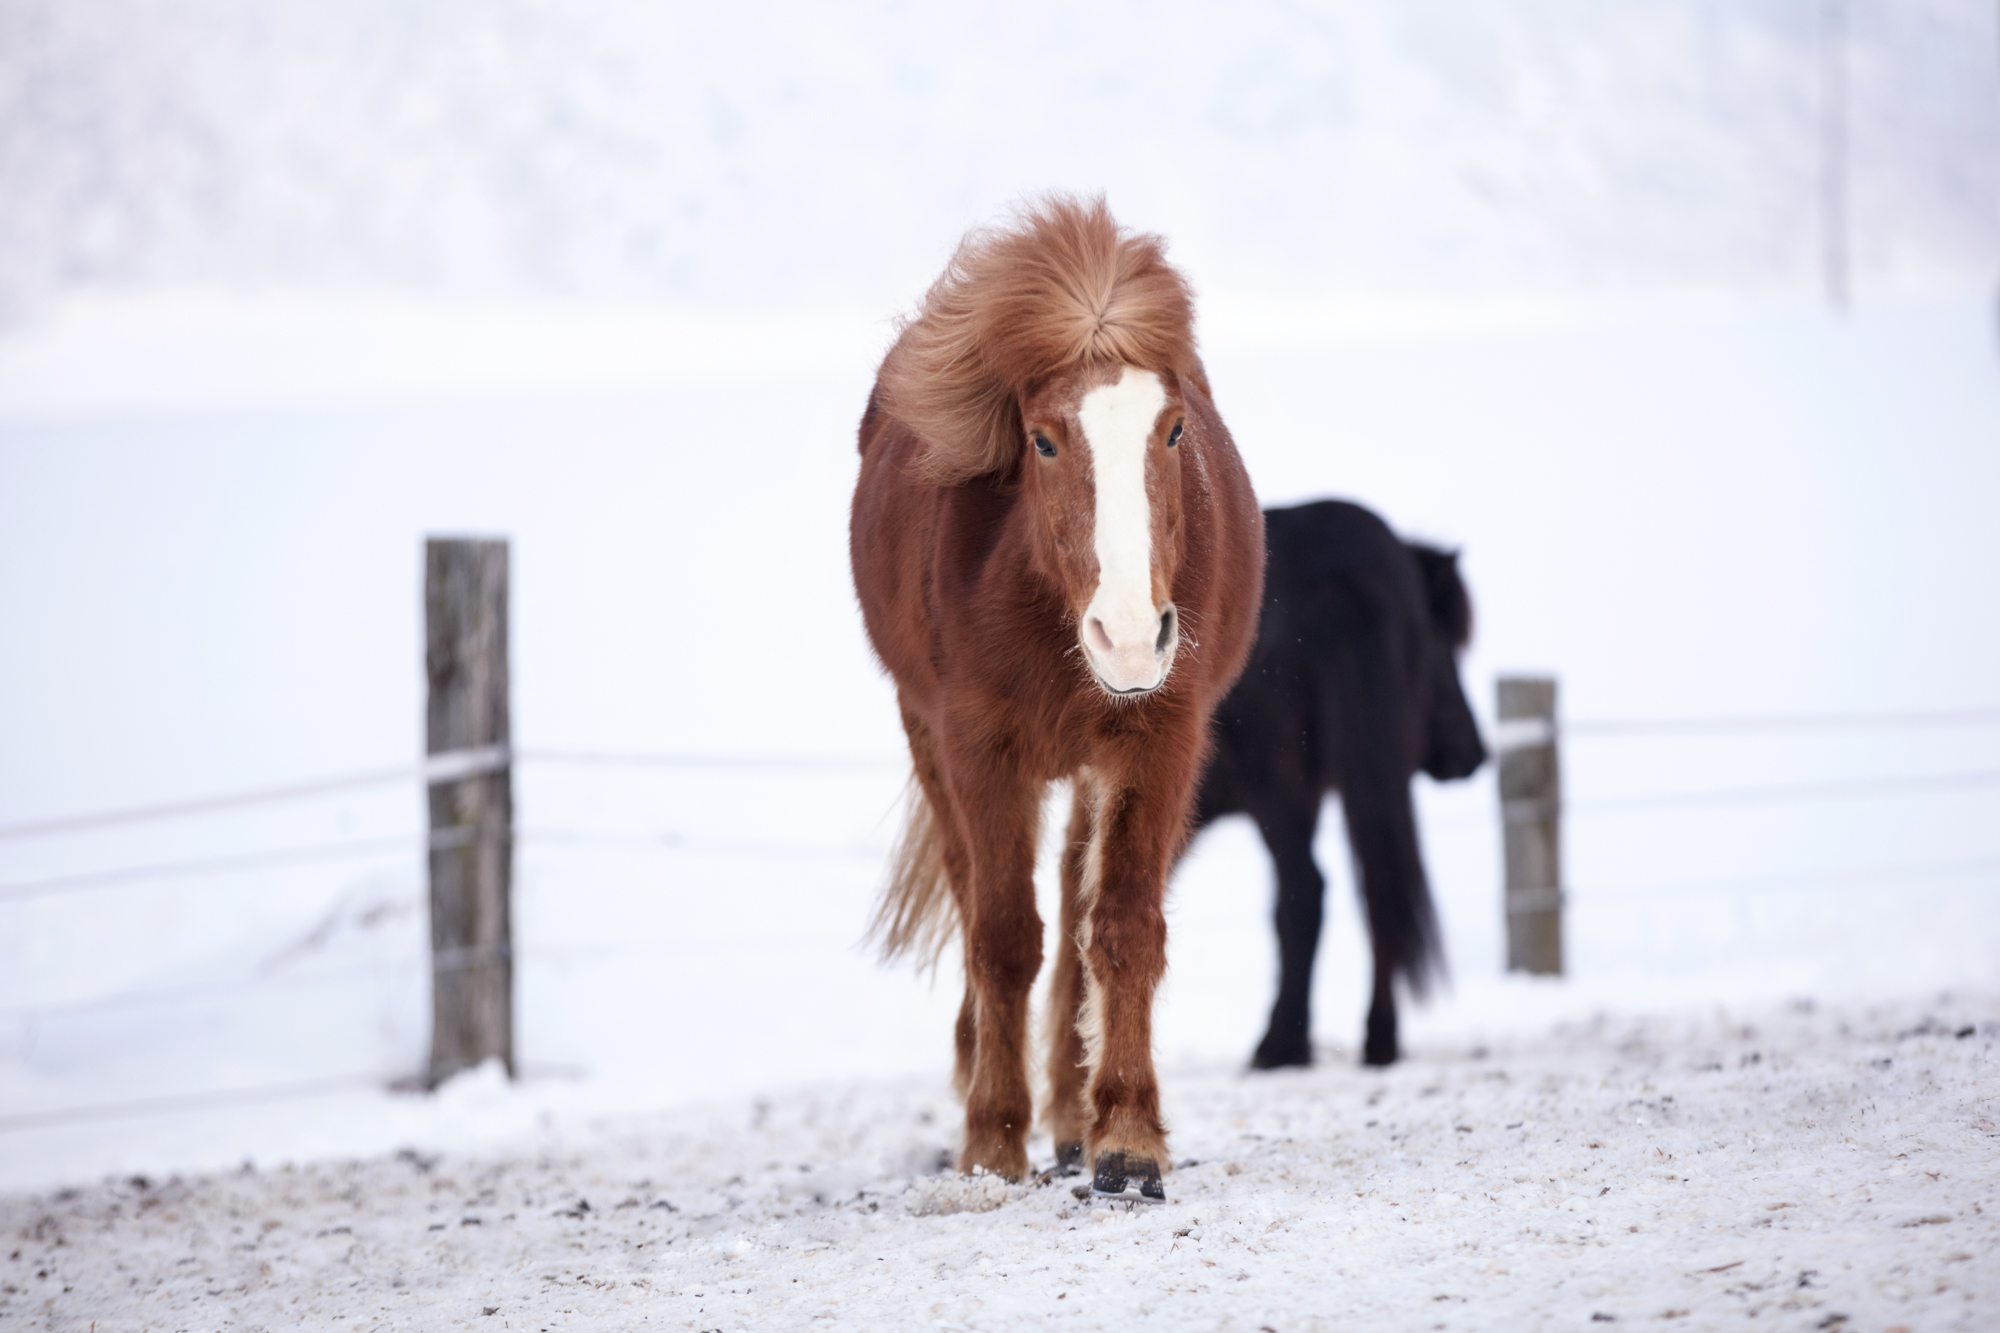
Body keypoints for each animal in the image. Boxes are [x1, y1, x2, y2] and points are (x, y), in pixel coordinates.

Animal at [850, 198, 1264, 1203]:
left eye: (1174, 430)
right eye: (1042, 438)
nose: (1130, 635)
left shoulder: (1158, 740)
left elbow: (1121, 926)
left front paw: (1127, 1137)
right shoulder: (978, 749)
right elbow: (1003, 938)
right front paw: (992, 1142)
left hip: (1089, 765)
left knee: (1081, 913)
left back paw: (1075, 1122)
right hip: (930, 742)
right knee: (975, 900)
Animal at [1191, 499, 1486, 1070]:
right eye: (1440, 644)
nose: (1473, 752)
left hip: (1282, 792)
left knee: (1306, 892)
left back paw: (1281, 1045)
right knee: (1376, 890)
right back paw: (1375, 1038)